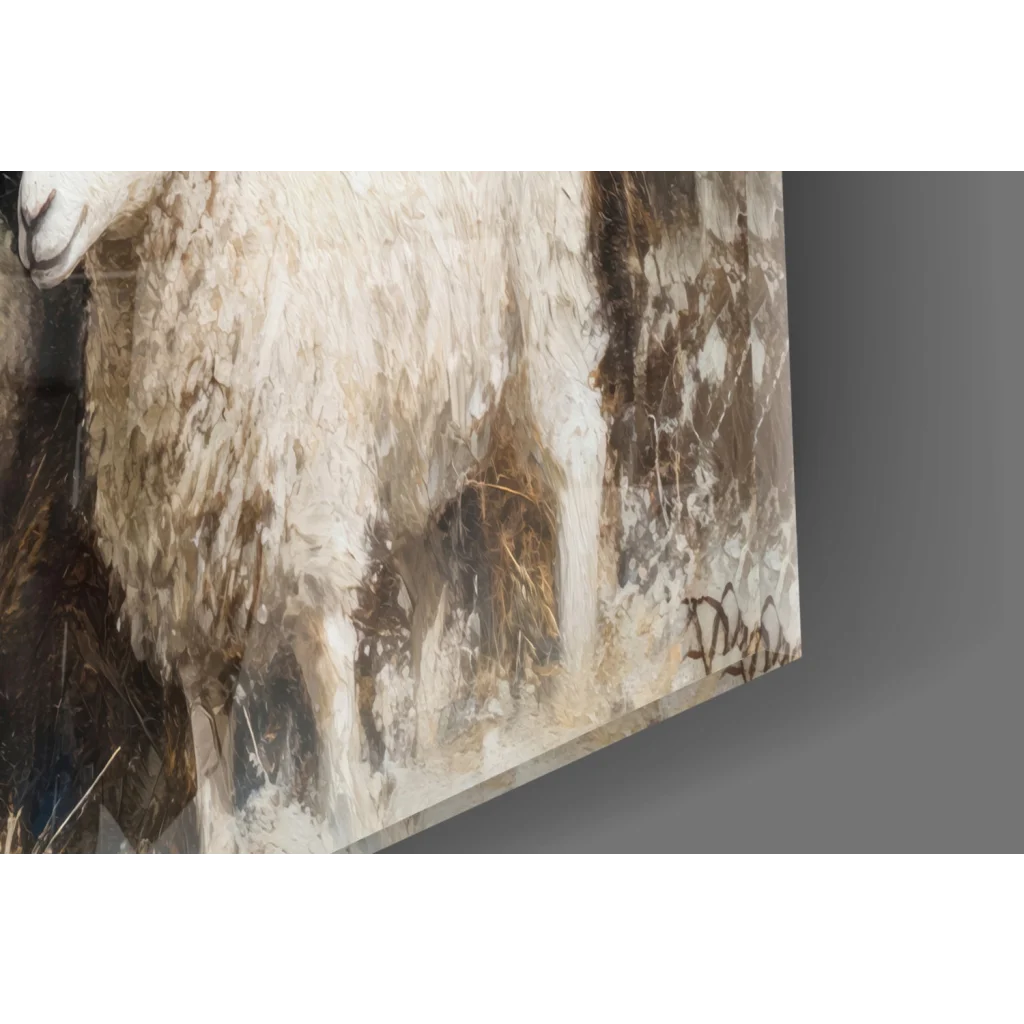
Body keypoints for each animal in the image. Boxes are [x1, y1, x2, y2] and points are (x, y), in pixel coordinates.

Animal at [17, 168, 611, 852]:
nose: (30, 220)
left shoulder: (308, 534)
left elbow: (330, 701)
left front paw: (350, 817)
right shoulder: (187, 568)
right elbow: (207, 728)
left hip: (542, 297)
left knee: (576, 445)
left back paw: (578, 679)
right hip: (406, 429)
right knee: (435, 578)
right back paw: (426, 744)